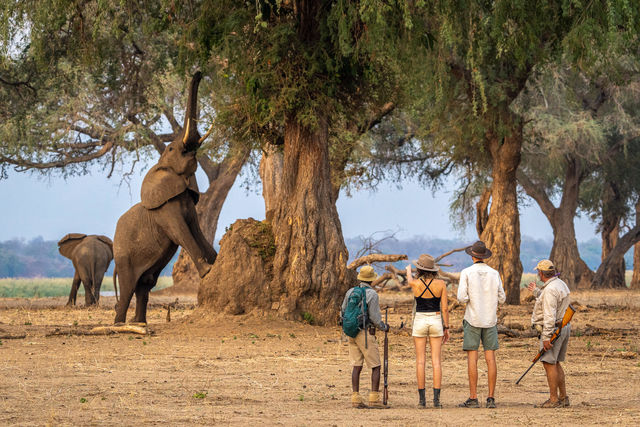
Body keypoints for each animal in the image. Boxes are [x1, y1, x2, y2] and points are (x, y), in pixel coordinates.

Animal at [113, 72, 218, 324]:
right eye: (171, 149)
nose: (199, 73)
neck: (159, 166)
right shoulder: (165, 209)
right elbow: (181, 232)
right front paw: (209, 271)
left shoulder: (187, 201)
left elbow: (196, 230)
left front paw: (217, 261)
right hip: (123, 257)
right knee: (128, 288)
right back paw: (120, 324)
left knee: (144, 285)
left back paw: (139, 323)